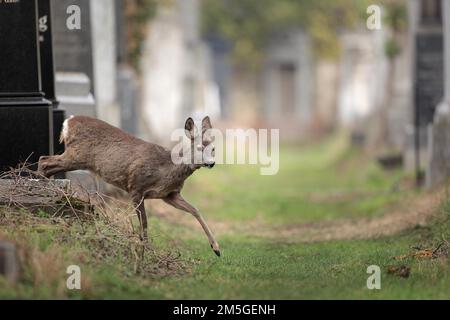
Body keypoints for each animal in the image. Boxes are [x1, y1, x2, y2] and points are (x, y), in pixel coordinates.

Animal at [38, 116, 221, 256]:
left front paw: (216, 248)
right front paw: (145, 251)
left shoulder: (170, 195)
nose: (211, 163)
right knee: (44, 160)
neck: (166, 169)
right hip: (76, 155)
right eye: (199, 147)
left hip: (75, 156)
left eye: (213, 149)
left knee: (46, 163)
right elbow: (144, 222)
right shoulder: (136, 186)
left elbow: (195, 210)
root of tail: (68, 122)